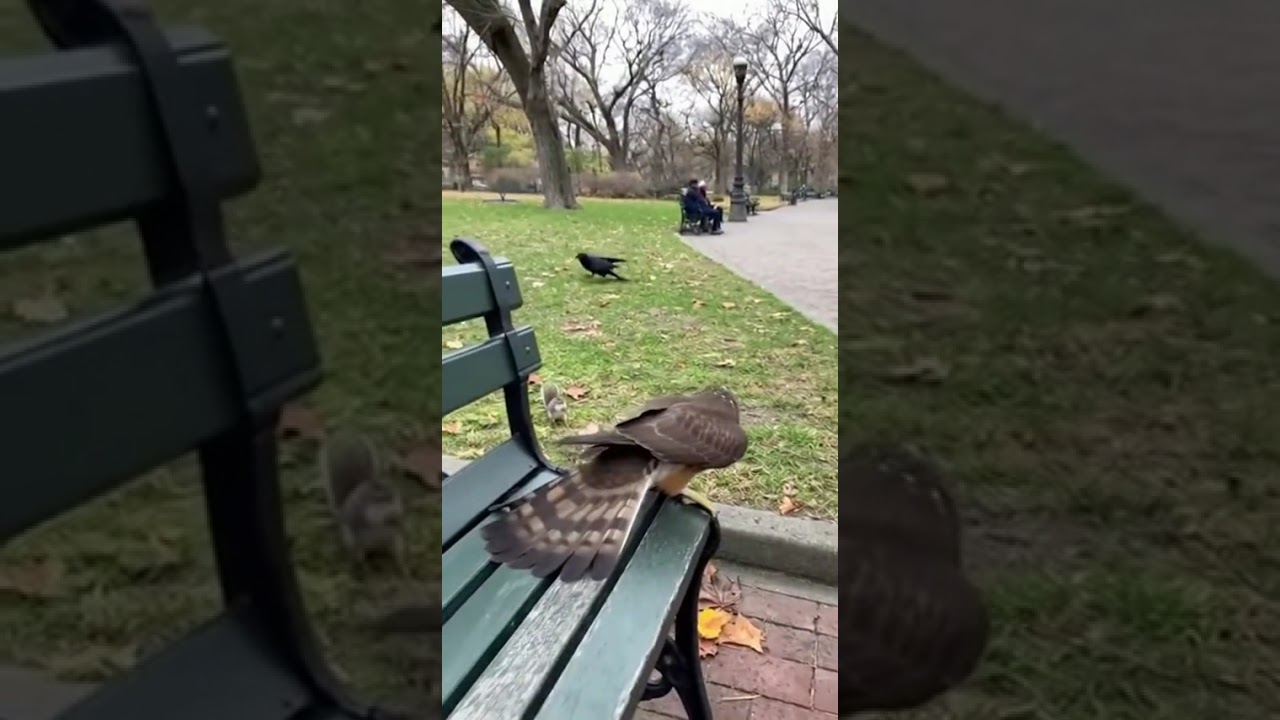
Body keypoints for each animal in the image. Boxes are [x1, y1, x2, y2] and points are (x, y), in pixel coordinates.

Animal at [320, 431, 405, 569]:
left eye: (392, 487)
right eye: (376, 492)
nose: (390, 498)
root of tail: (377, 547)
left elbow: (399, 514)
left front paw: (398, 518)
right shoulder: (363, 510)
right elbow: (373, 519)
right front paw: (388, 518)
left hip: (396, 542)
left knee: (397, 555)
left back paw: (403, 567)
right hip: (355, 544)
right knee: (359, 557)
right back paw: (365, 567)